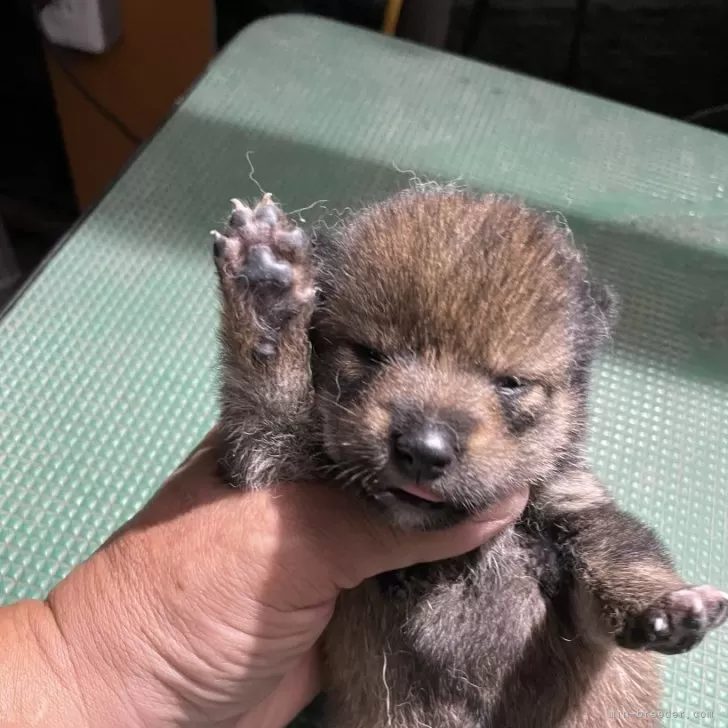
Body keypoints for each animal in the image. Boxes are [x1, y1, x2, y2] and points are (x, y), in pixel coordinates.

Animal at [209, 189, 724, 728]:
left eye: (511, 382)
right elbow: (270, 404)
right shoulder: (271, 459)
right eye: (369, 353)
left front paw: (663, 607)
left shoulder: (571, 511)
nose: (424, 449)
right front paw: (265, 294)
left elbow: (618, 549)